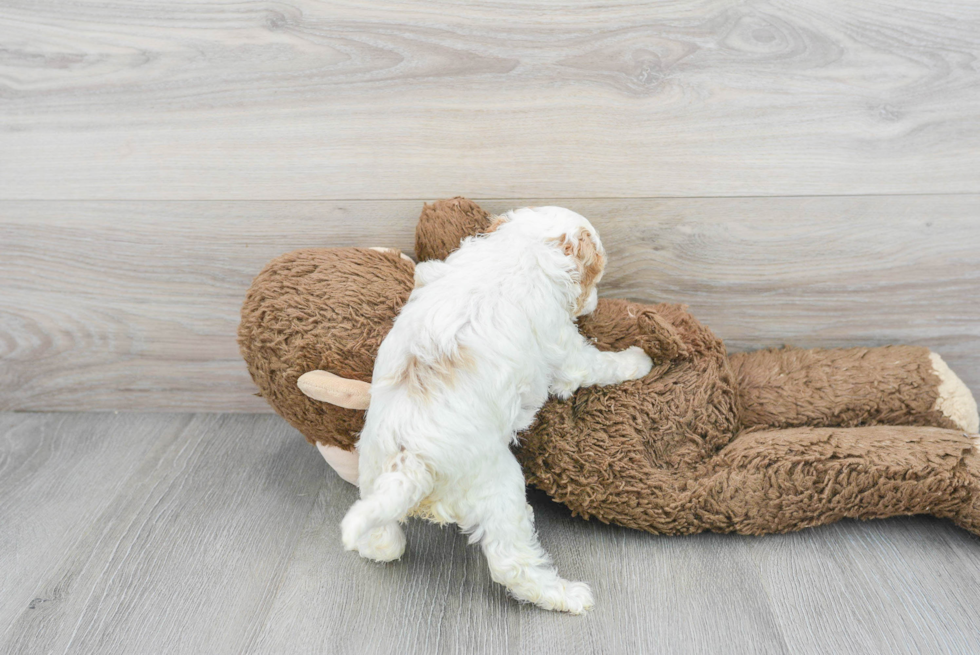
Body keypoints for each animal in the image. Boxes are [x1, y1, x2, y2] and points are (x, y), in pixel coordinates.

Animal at [340, 206, 656, 616]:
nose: (595, 303)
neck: (522, 247)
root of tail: (410, 461)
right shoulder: (565, 347)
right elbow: (597, 364)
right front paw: (639, 360)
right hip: (498, 484)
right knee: (512, 563)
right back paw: (566, 595)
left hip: (371, 471)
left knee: (381, 539)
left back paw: (378, 543)